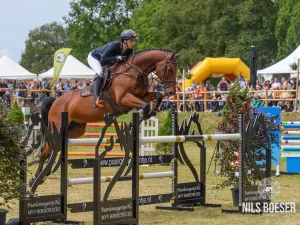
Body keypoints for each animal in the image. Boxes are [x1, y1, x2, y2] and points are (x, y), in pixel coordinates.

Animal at [29, 48, 180, 185]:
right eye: (169, 69)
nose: (172, 92)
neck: (133, 72)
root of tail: (56, 101)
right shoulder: (123, 98)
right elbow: (145, 105)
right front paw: (145, 114)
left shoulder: (142, 95)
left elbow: (157, 96)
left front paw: (152, 111)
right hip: (58, 127)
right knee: (46, 149)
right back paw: (35, 178)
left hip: (75, 130)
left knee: (53, 148)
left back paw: (42, 174)